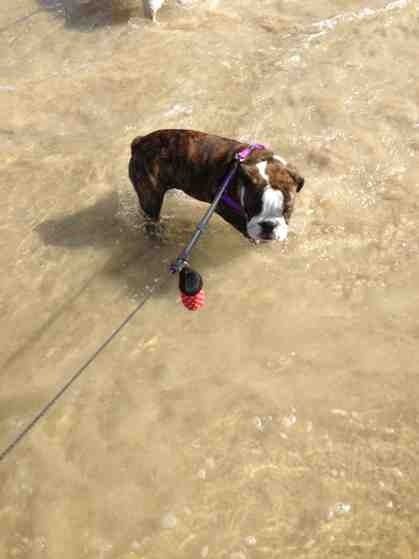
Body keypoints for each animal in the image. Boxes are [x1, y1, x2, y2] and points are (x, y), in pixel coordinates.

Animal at [128, 129, 304, 242]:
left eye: (287, 211)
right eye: (252, 209)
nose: (268, 226)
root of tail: (139, 142)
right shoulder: (223, 207)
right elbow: (242, 225)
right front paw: (253, 238)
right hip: (150, 196)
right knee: (151, 219)